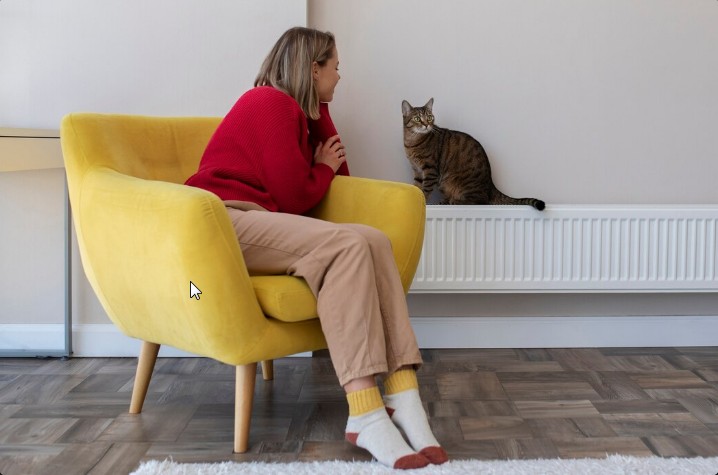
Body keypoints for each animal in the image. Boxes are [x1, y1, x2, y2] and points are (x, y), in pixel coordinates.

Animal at [402, 98, 545, 210]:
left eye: (430, 117)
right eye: (417, 118)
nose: (427, 125)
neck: (411, 142)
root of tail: (491, 184)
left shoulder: (430, 169)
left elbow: (425, 189)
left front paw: (423, 201)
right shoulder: (417, 170)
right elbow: (417, 186)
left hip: (461, 183)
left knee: (481, 201)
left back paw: (455, 201)